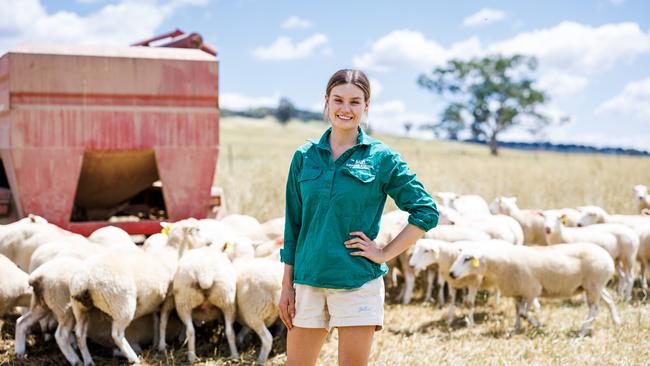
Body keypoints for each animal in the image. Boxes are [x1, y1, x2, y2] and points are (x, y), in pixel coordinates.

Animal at [69, 219, 201, 364]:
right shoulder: (169, 298)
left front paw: (155, 342)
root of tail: (84, 280)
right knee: (117, 335)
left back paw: (88, 361)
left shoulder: (154, 301)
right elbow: (163, 321)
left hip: (80, 308)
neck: (173, 252)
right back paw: (133, 358)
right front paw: (162, 346)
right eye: (198, 229)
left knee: (80, 334)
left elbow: (155, 321)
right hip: (122, 305)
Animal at [448, 242, 620, 336]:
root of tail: (608, 258)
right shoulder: (517, 292)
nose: (451, 273)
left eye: (467, 259)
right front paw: (516, 329)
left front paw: (539, 325)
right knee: (609, 301)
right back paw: (616, 321)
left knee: (594, 309)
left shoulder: (531, 290)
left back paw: (583, 330)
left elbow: (524, 313)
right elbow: (518, 312)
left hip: (593, 285)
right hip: (596, 285)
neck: (500, 264)